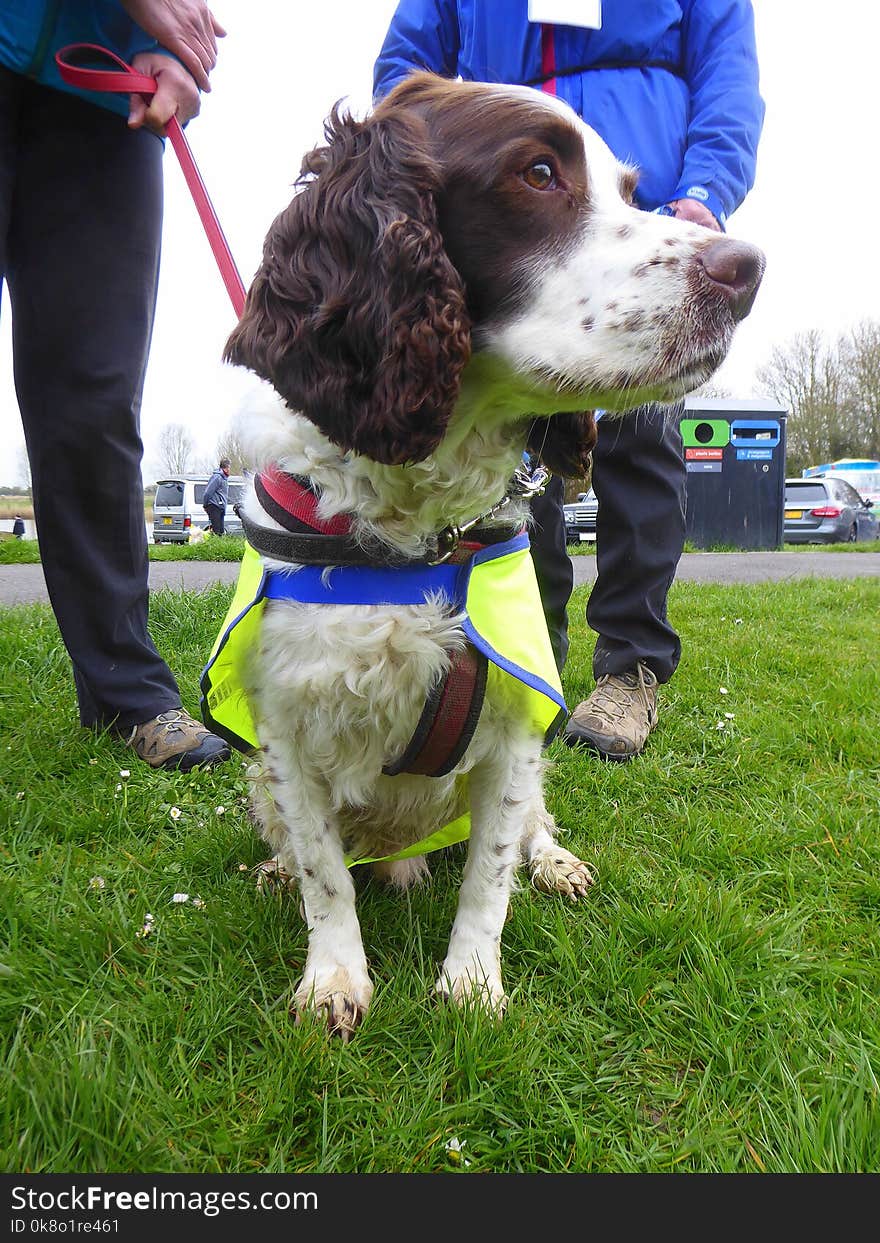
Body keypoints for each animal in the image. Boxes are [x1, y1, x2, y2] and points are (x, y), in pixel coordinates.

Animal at [221, 70, 760, 1039]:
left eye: (631, 191)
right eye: (539, 173)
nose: (747, 270)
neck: (419, 529)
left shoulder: (515, 724)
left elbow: (490, 875)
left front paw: (472, 985)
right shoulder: (282, 728)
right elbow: (326, 874)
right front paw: (333, 979)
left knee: (533, 828)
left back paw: (556, 863)